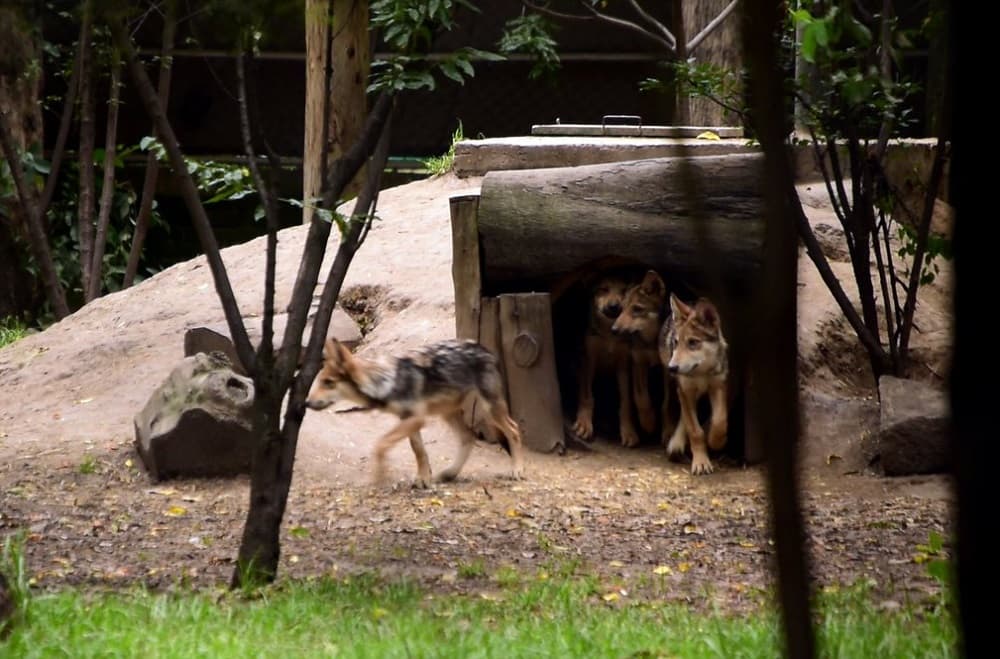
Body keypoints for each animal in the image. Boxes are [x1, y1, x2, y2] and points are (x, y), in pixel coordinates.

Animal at [306, 338, 524, 487]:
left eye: (328, 383)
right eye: (320, 382)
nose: (307, 403)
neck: (385, 381)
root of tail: (485, 349)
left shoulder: (417, 418)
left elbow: (380, 445)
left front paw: (379, 476)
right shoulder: (409, 419)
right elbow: (419, 451)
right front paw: (423, 479)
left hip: (489, 410)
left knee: (514, 430)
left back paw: (517, 470)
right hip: (448, 413)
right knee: (468, 437)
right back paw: (449, 474)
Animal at [570, 272, 638, 446]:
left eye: (624, 291)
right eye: (603, 289)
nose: (614, 306)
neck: (609, 334)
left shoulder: (623, 366)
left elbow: (625, 402)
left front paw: (629, 431)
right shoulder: (588, 360)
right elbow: (587, 396)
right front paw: (584, 423)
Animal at [611, 270, 670, 446]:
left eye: (637, 309)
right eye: (621, 309)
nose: (614, 330)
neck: (650, 341)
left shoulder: (668, 369)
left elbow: (667, 405)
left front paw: (668, 432)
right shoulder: (638, 363)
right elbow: (641, 398)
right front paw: (648, 422)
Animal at [660, 294, 729, 475]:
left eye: (693, 342)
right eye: (676, 342)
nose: (672, 367)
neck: (701, 373)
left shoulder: (718, 386)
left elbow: (720, 420)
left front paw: (715, 441)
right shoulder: (685, 390)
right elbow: (695, 431)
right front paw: (701, 462)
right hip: (676, 388)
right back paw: (675, 443)